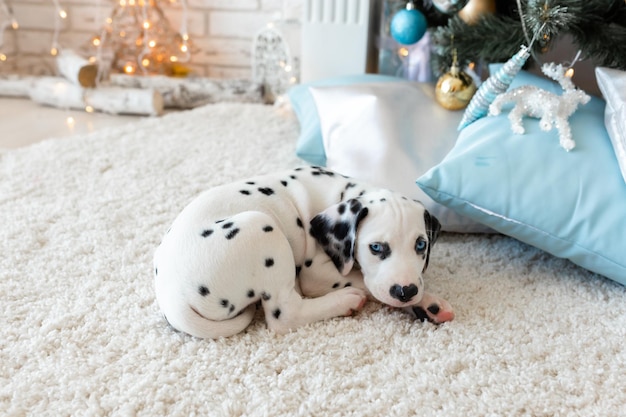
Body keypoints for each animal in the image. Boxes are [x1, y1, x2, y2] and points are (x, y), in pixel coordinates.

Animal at [153, 166, 450, 338]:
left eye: (420, 245)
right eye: (376, 247)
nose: (406, 291)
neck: (342, 192)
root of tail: (173, 298)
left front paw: (427, 304)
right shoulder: (317, 273)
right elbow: (363, 282)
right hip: (261, 227)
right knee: (285, 315)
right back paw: (344, 301)